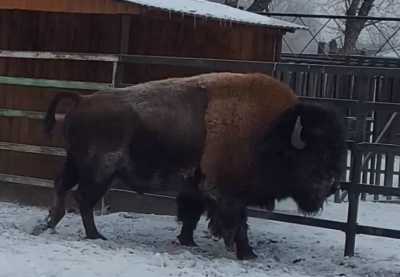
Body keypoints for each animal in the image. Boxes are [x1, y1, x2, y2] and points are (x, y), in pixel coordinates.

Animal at [36, 71, 346, 258]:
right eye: (317, 155)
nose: (333, 186)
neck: (271, 132)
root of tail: (82, 100)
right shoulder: (228, 193)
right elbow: (237, 222)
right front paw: (245, 252)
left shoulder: (198, 188)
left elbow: (192, 215)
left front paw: (189, 241)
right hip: (100, 172)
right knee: (83, 198)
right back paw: (95, 235)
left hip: (76, 163)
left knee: (62, 186)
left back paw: (50, 223)